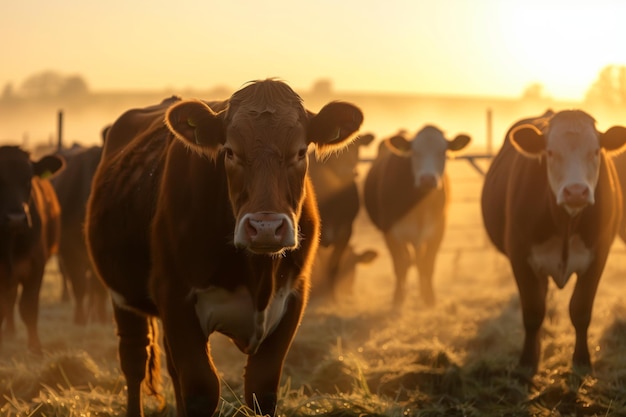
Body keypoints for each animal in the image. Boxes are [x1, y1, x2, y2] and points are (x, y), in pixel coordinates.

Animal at [85, 79, 364, 416]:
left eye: (300, 151)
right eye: (229, 151)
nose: (265, 227)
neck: (257, 275)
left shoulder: (292, 300)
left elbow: (261, 390)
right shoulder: (176, 298)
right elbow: (201, 389)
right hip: (122, 295)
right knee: (134, 362)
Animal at [360, 125, 468, 308]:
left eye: (443, 152)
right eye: (415, 152)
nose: (428, 179)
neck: (418, 204)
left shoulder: (437, 230)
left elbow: (427, 264)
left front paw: (430, 298)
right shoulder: (390, 232)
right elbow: (400, 265)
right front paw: (398, 298)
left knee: (418, 261)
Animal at [478, 109, 624, 372]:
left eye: (596, 151)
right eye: (551, 152)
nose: (576, 192)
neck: (566, 221)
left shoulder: (598, 256)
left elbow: (580, 310)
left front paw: (582, 360)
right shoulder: (520, 257)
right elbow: (533, 311)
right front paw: (527, 361)